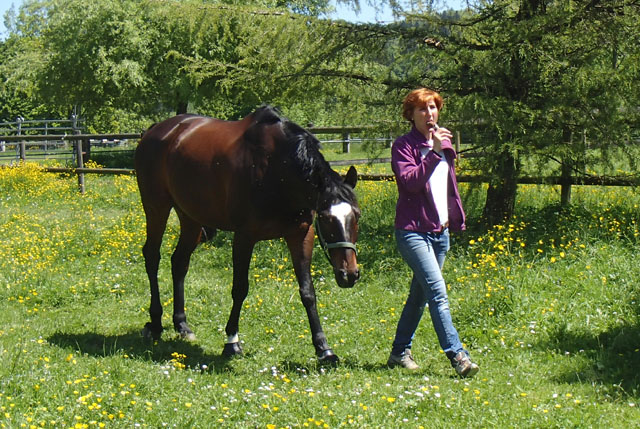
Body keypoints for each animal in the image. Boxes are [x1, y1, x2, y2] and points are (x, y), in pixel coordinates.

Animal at [134, 104, 360, 362]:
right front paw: (232, 341)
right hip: (156, 207)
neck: (277, 170)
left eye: (357, 215)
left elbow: (308, 292)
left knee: (179, 262)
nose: (349, 275)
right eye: (325, 218)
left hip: (190, 217)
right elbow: (240, 288)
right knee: (152, 256)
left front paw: (324, 348)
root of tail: (155, 130)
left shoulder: (301, 235)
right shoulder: (244, 237)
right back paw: (155, 323)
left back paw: (182, 324)